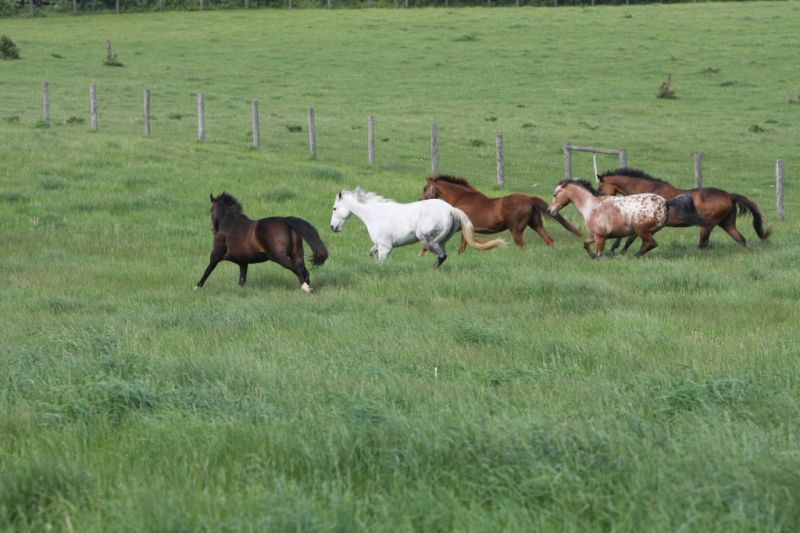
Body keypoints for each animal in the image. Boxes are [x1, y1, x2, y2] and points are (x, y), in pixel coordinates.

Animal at [195, 193, 328, 293]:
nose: (212, 229)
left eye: (211, 210)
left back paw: (306, 288)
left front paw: (196, 286)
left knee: (297, 269)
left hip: (278, 256)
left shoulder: (215, 255)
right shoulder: (243, 262)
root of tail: (287, 221)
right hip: (297, 254)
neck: (229, 224)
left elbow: (207, 270)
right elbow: (242, 279)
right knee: (304, 269)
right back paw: (309, 286)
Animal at [329, 187, 505, 268]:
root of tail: (451, 209)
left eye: (334, 208)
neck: (375, 214)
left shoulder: (385, 247)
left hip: (428, 241)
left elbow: (382, 260)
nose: (332, 227)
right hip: (441, 241)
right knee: (442, 256)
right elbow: (372, 253)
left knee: (441, 256)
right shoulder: (379, 245)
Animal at [420, 175, 582, 252]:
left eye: (425, 188)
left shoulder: (459, 227)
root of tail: (529, 198)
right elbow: (462, 247)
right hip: (536, 225)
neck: (462, 198)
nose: (420, 200)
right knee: (549, 240)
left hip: (516, 230)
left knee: (522, 245)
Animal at [547, 179, 708, 258]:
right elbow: (585, 244)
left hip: (641, 230)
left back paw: (632, 256)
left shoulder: (600, 237)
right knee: (646, 244)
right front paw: (592, 256)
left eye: (555, 194)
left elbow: (599, 254)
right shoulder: (595, 235)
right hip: (648, 231)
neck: (592, 206)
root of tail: (666, 202)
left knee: (652, 243)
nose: (550, 210)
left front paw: (597, 257)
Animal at [597, 168, 771, 252]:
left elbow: (631, 238)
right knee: (740, 240)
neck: (645, 190)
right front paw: (616, 249)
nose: (599, 198)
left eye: (600, 187)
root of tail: (729, 195)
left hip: (707, 225)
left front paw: (616, 250)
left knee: (703, 244)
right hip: (727, 223)